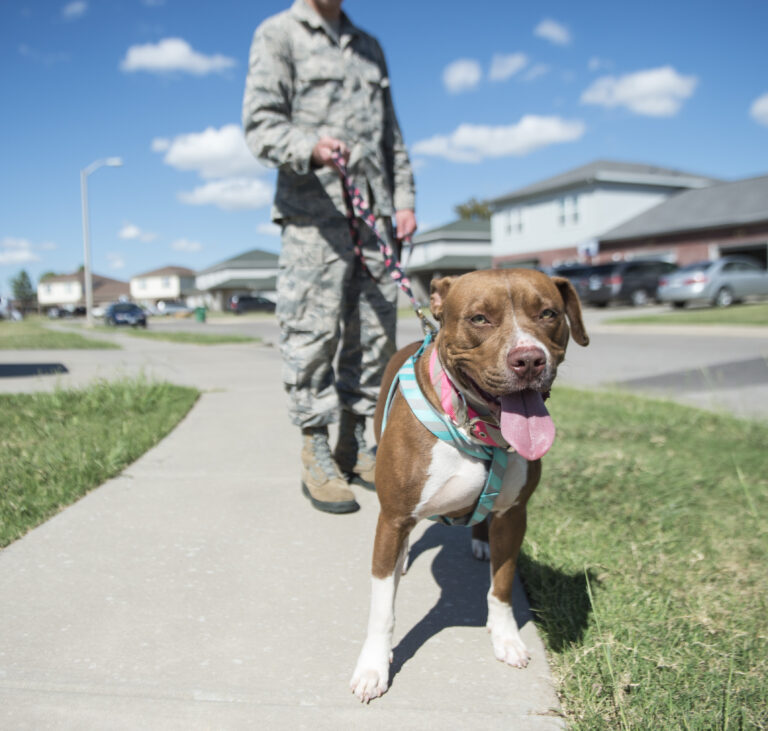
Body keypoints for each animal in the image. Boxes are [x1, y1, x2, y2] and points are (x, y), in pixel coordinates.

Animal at [352, 268, 592, 704]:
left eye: (548, 313)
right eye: (480, 319)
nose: (528, 359)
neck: (474, 426)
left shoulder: (514, 515)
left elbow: (502, 587)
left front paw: (506, 639)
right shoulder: (393, 517)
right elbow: (382, 606)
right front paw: (373, 667)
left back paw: (480, 541)